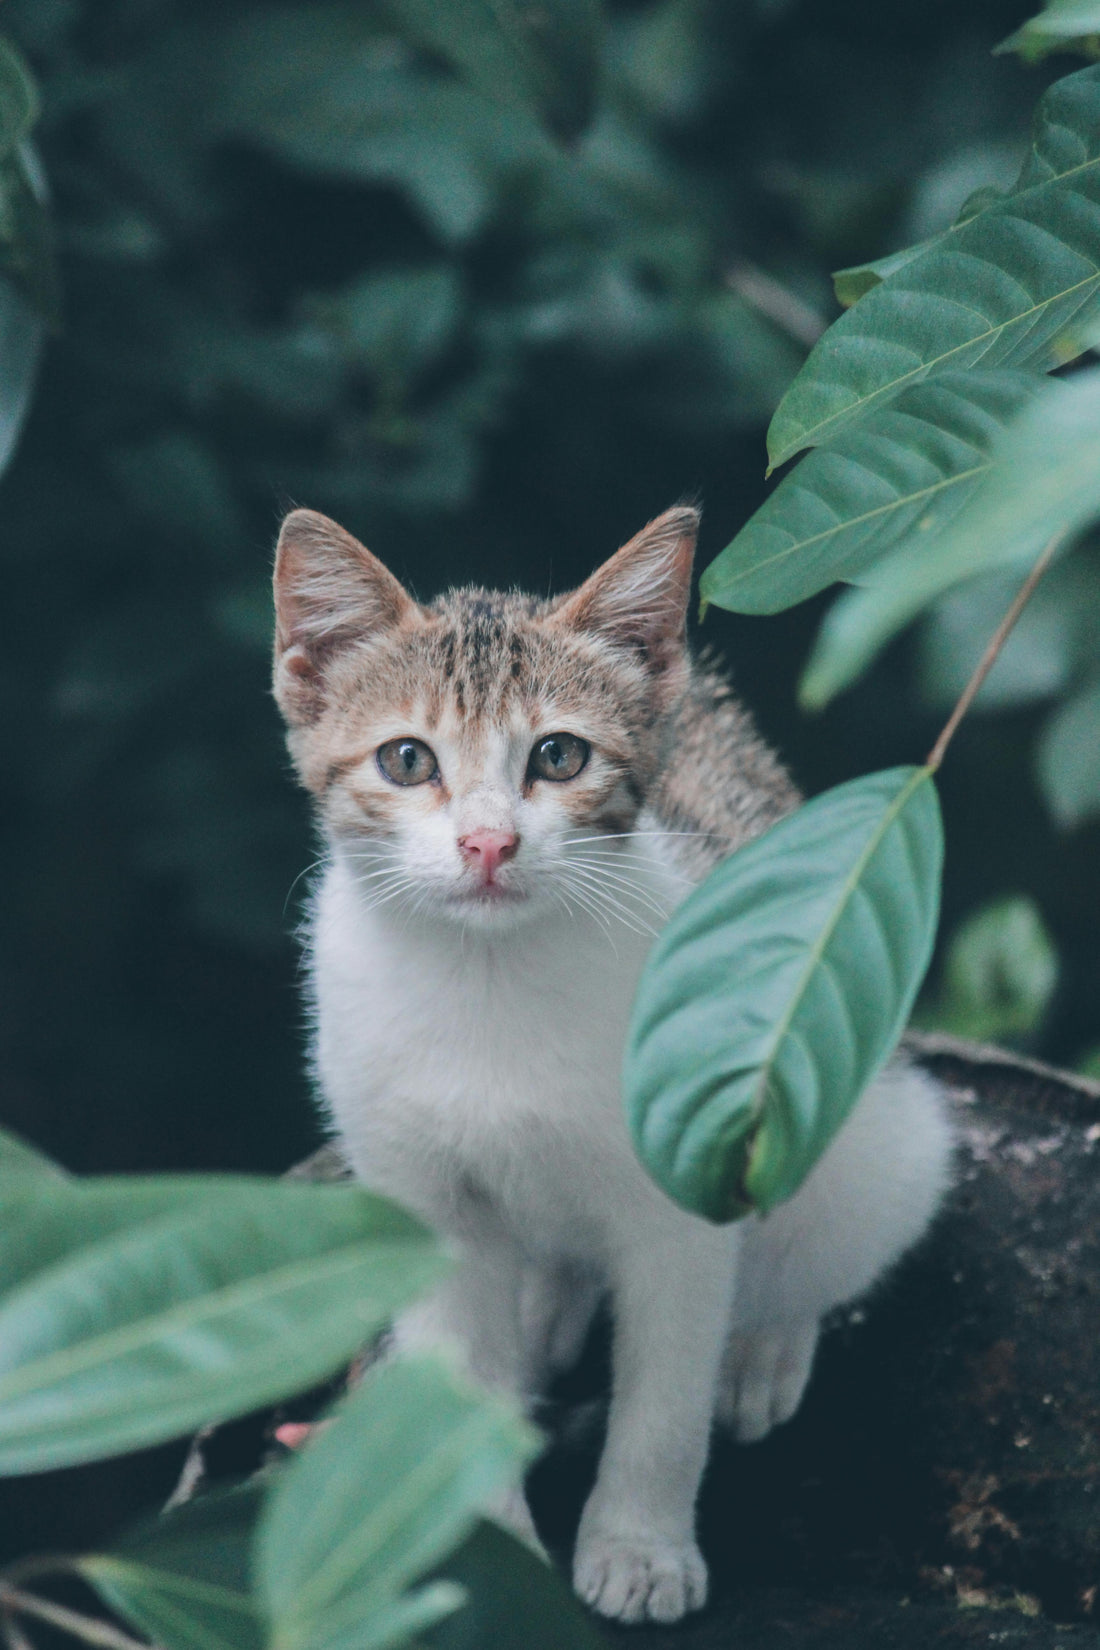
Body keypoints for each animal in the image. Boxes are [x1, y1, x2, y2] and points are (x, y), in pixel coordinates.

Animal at [273, 508, 956, 1630]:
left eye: (557, 754)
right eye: (407, 759)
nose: (488, 844)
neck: (490, 978)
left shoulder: (684, 1195)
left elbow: (663, 1397)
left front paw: (641, 1547)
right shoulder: (417, 1192)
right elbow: (456, 1367)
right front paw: (494, 1550)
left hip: (881, 1128)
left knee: (827, 1237)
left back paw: (761, 1346)